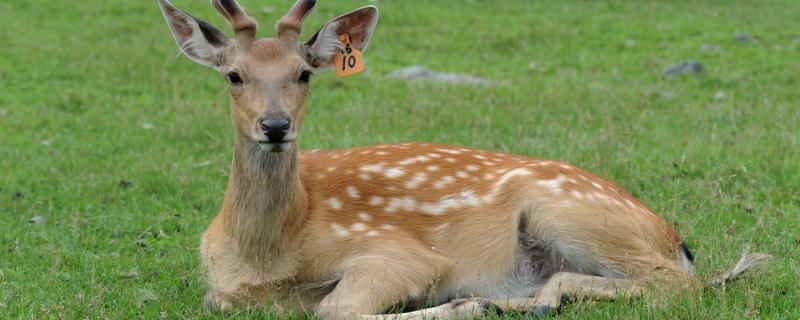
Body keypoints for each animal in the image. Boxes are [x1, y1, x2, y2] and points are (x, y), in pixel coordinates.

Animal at [158, 0, 776, 318]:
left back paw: (512, 303)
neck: (264, 254)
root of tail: (676, 239)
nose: (275, 126)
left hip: (569, 211)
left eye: (305, 73)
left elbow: (335, 308)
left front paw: (459, 307)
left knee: (677, 284)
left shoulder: (397, 253)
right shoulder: (221, 291)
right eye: (234, 75)